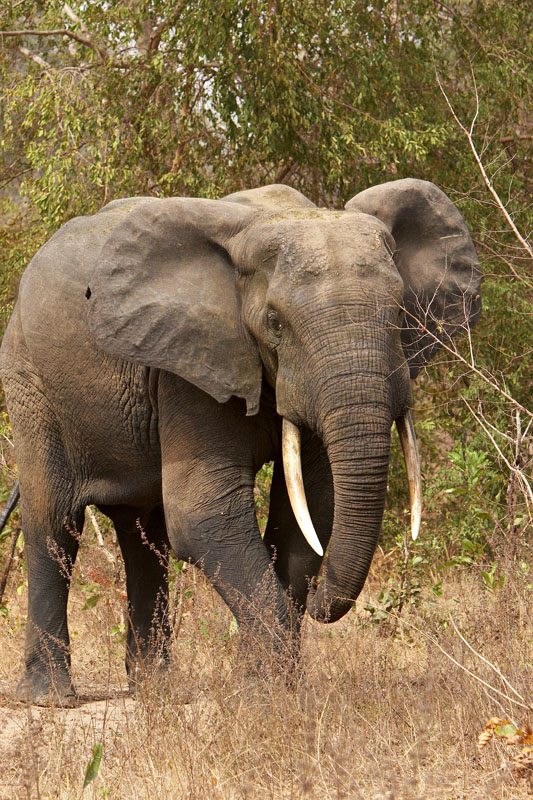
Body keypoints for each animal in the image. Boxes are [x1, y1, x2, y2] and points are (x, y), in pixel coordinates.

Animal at [0, 179, 480, 705]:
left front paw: (267, 685)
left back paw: (157, 692)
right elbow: (203, 513)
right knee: (55, 524)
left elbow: (310, 513)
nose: (321, 604)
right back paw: (49, 697)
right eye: (275, 323)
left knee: (144, 536)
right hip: (29, 379)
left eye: (397, 313)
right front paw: (268, 693)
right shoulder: (190, 365)